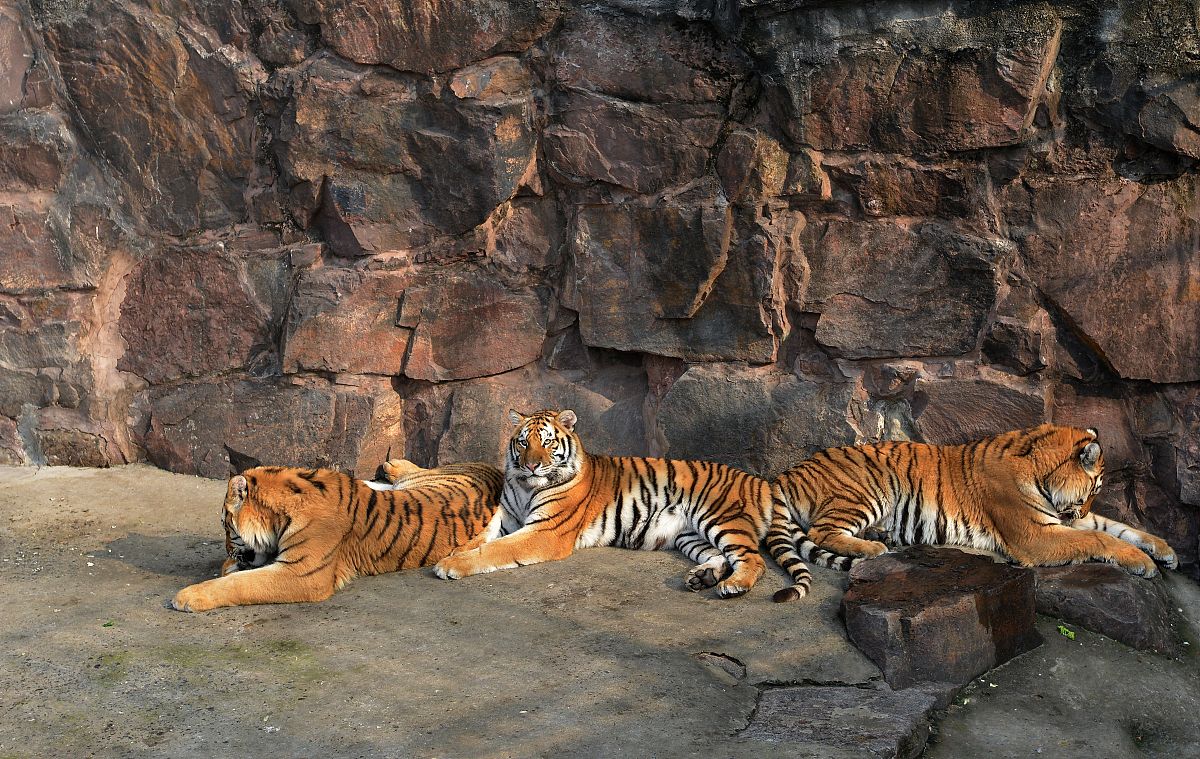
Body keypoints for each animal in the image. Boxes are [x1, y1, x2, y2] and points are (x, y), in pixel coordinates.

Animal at [170, 458, 502, 612]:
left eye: (226, 526)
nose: (228, 549)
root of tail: (493, 467)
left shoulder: (303, 574)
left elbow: (241, 584)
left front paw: (188, 595)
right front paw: (228, 566)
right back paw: (390, 465)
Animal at [430, 409, 774, 598]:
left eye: (548, 442)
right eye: (523, 442)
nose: (531, 466)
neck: (527, 487)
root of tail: (759, 481)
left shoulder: (545, 532)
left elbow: (495, 549)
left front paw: (450, 565)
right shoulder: (507, 517)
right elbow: (483, 536)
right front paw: (457, 550)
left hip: (719, 517)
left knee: (753, 560)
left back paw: (733, 586)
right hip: (688, 535)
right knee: (719, 556)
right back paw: (702, 578)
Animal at [768, 424, 1179, 602]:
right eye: (1093, 491)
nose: (1080, 512)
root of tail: (788, 473)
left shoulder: (1055, 520)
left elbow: (1115, 526)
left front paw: (1165, 551)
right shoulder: (1035, 535)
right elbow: (1097, 536)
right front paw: (1143, 563)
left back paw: (879, 536)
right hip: (868, 490)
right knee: (822, 531)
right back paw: (874, 548)